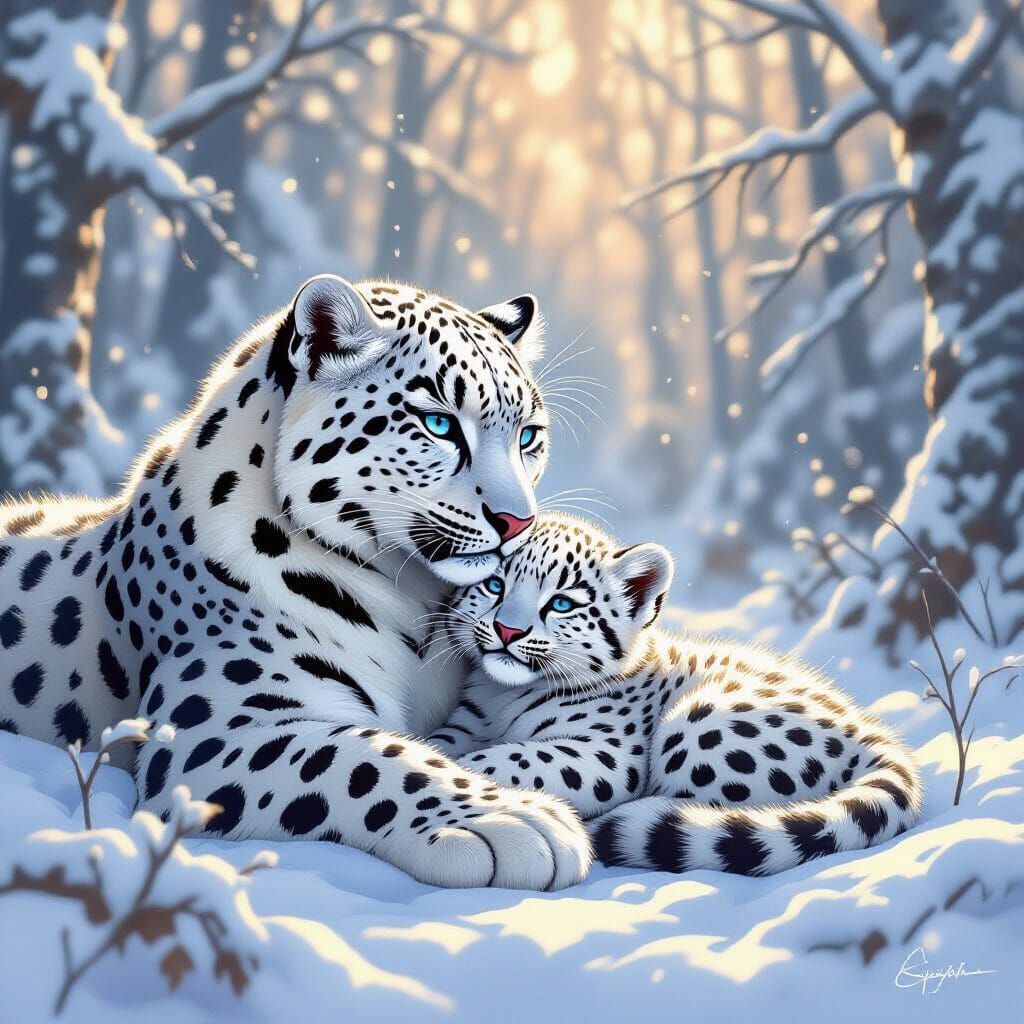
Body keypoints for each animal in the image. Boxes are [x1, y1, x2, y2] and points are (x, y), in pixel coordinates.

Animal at [0, 274, 592, 891]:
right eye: (439, 424)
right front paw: (518, 821)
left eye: (528, 437)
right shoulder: (207, 735)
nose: (518, 522)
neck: (414, 595)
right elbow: (365, 755)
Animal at [430, 512, 923, 875]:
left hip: (698, 726)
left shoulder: (607, 754)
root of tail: (875, 737)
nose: (507, 630)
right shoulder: (464, 723)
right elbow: (449, 744)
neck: (501, 697)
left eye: (563, 603)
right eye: (495, 585)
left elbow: (515, 758)